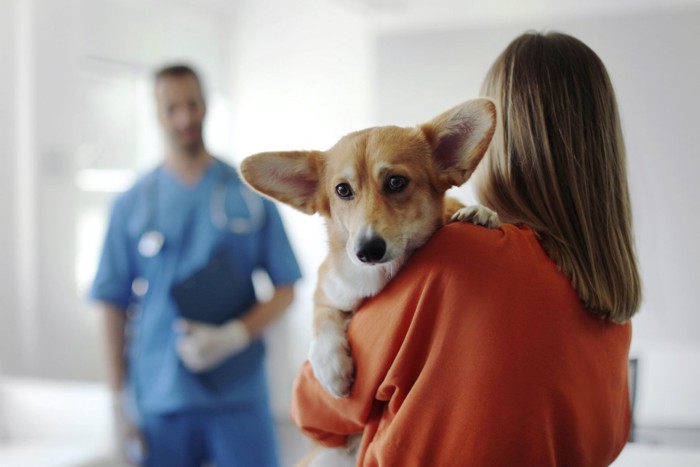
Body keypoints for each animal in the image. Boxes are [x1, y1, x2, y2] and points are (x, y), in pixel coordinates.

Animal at [241, 97, 498, 400]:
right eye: (342, 190)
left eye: (396, 182)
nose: (367, 251)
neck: (379, 275)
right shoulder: (326, 292)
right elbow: (322, 319)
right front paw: (330, 365)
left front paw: (480, 212)